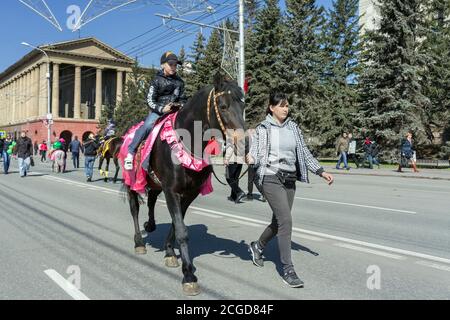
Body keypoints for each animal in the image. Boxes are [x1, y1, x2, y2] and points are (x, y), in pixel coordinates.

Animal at [123, 75, 246, 296]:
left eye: (243, 105)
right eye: (223, 106)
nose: (244, 143)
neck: (187, 140)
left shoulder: (189, 193)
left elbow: (176, 224)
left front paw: (170, 253)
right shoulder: (171, 190)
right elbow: (181, 231)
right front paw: (188, 275)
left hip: (155, 184)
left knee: (151, 200)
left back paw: (150, 225)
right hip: (132, 184)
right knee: (134, 209)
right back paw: (139, 243)